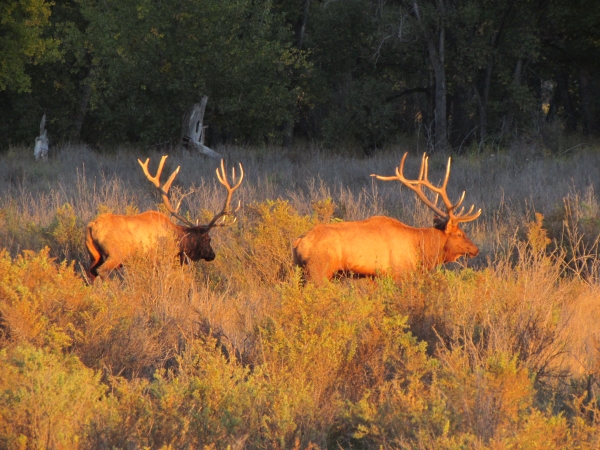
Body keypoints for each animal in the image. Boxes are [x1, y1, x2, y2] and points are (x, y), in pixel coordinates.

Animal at [85, 156, 244, 282]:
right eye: (208, 239)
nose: (212, 254)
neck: (179, 241)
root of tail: (92, 227)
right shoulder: (162, 260)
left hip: (94, 254)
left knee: (90, 273)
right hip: (115, 254)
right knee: (101, 271)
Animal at [292, 153, 482, 284]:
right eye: (459, 233)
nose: (476, 249)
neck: (420, 251)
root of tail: (298, 243)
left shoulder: (373, 277)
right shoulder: (398, 272)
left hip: (300, 270)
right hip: (318, 270)